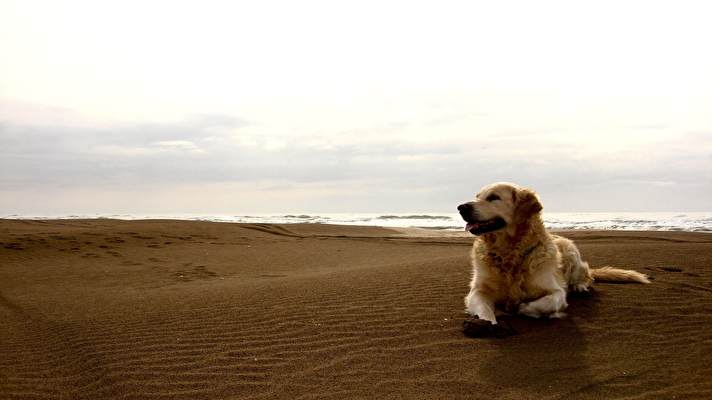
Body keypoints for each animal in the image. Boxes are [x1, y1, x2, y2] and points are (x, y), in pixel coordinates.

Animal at [458, 183, 648, 324]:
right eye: (477, 197)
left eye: (493, 197)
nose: (461, 207)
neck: (510, 252)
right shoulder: (478, 290)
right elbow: (484, 309)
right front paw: (487, 323)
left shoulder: (556, 291)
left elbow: (546, 302)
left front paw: (522, 308)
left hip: (571, 251)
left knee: (587, 275)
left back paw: (580, 286)